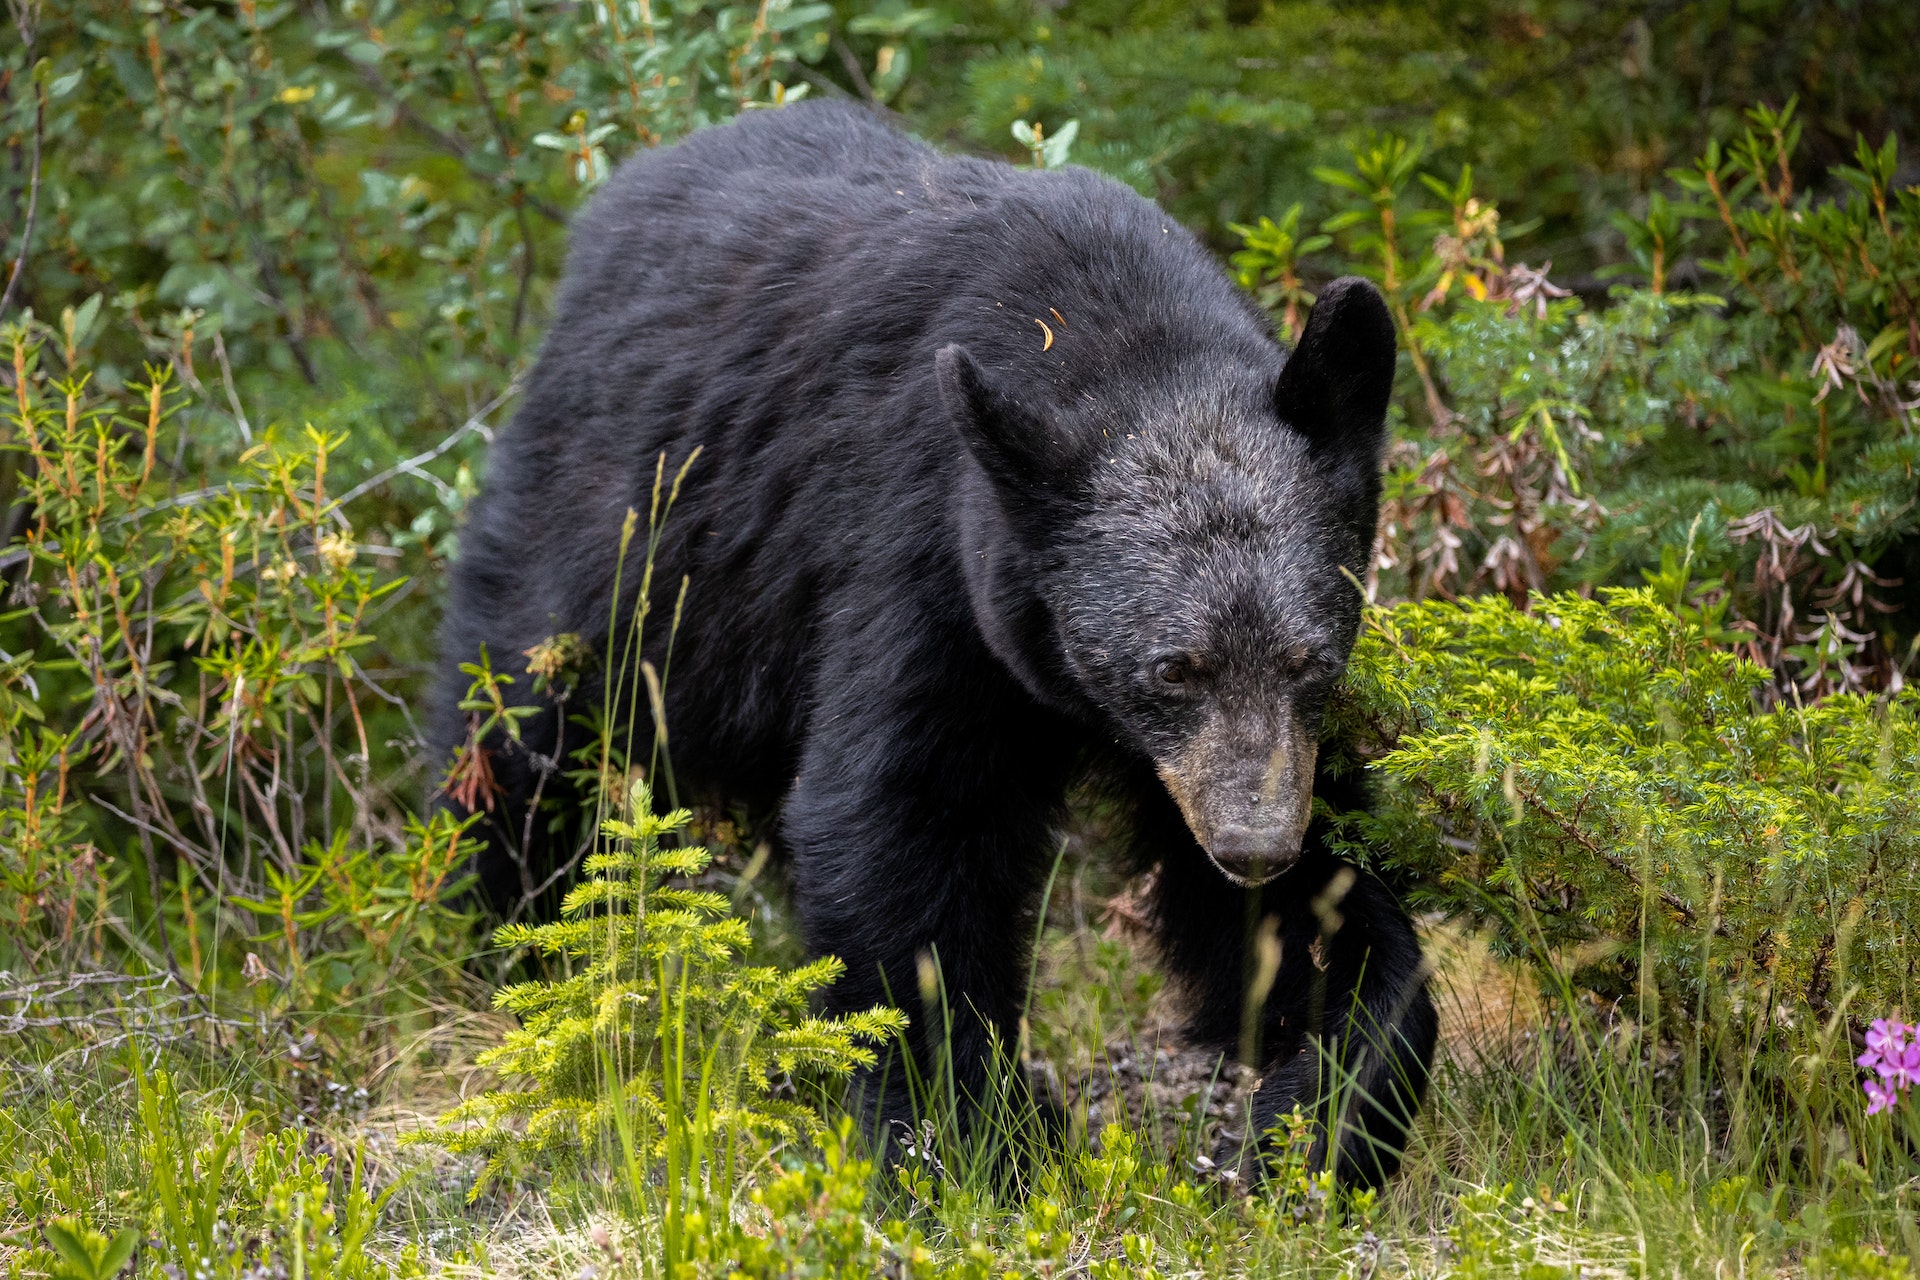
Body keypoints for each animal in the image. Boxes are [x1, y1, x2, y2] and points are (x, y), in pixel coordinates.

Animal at [435, 97, 1428, 1182]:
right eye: (1173, 668)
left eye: (1310, 658)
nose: (1254, 846)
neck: (1118, 336)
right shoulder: (926, 557)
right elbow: (903, 818)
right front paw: (969, 1134)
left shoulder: (1239, 747)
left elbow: (1319, 903)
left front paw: (1319, 1107)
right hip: (623, 538)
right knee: (520, 729)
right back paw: (513, 943)